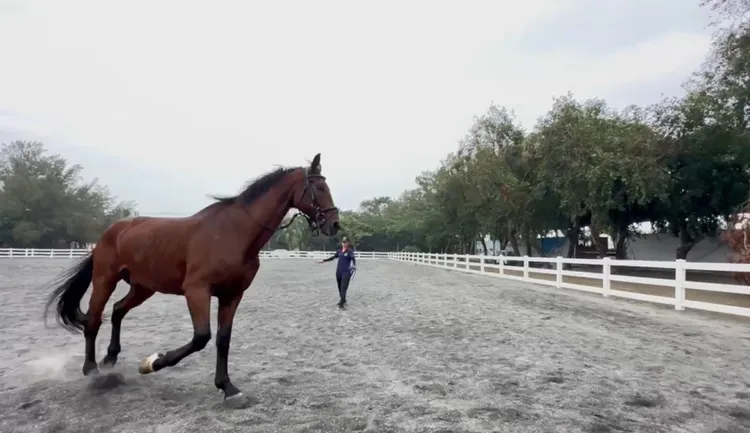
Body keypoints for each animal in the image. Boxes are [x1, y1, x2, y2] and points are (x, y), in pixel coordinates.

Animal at [43, 153, 340, 409]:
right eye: (318, 186)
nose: (335, 224)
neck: (234, 233)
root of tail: (111, 230)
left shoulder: (232, 295)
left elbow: (222, 339)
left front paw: (228, 388)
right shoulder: (197, 291)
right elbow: (201, 337)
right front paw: (153, 362)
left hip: (143, 288)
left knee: (117, 311)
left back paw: (110, 358)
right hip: (105, 280)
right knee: (93, 321)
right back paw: (93, 371)